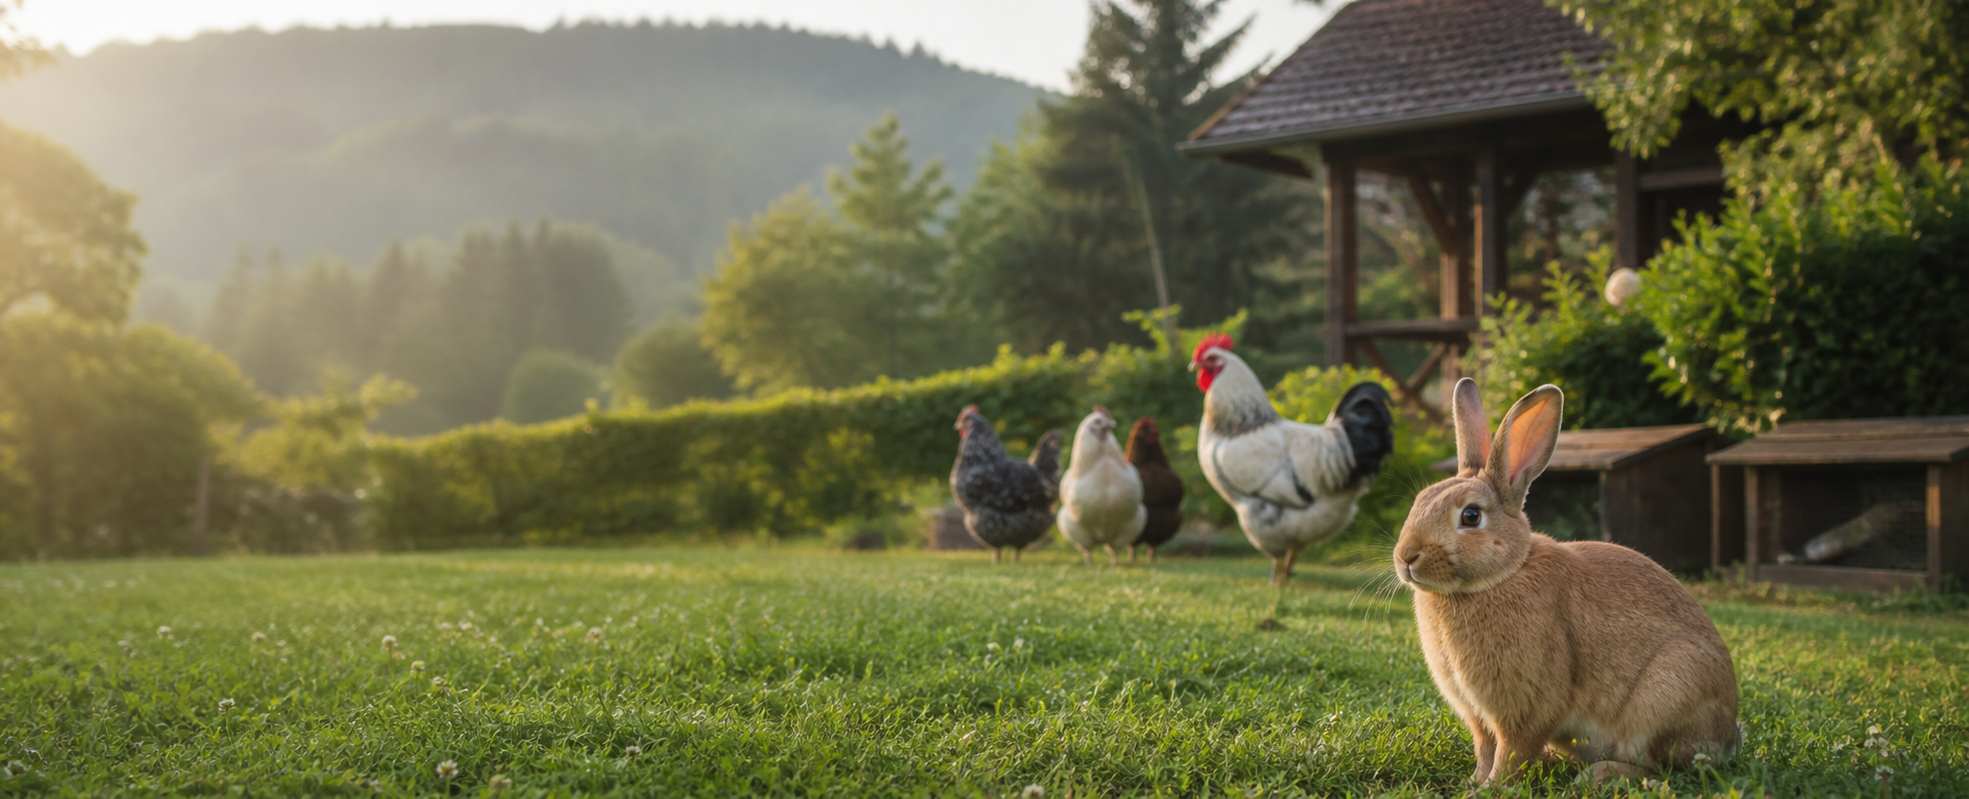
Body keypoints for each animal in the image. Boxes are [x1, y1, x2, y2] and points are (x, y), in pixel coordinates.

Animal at [1393, 378, 1741, 785]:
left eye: (1471, 516)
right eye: (1419, 501)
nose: (1406, 557)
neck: (1501, 575)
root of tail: (1727, 739)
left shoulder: (1526, 705)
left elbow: (1511, 752)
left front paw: (1491, 788)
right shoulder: (1478, 715)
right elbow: (1485, 748)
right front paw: (1474, 783)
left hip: (1668, 693)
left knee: (1657, 765)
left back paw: (1596, 776)